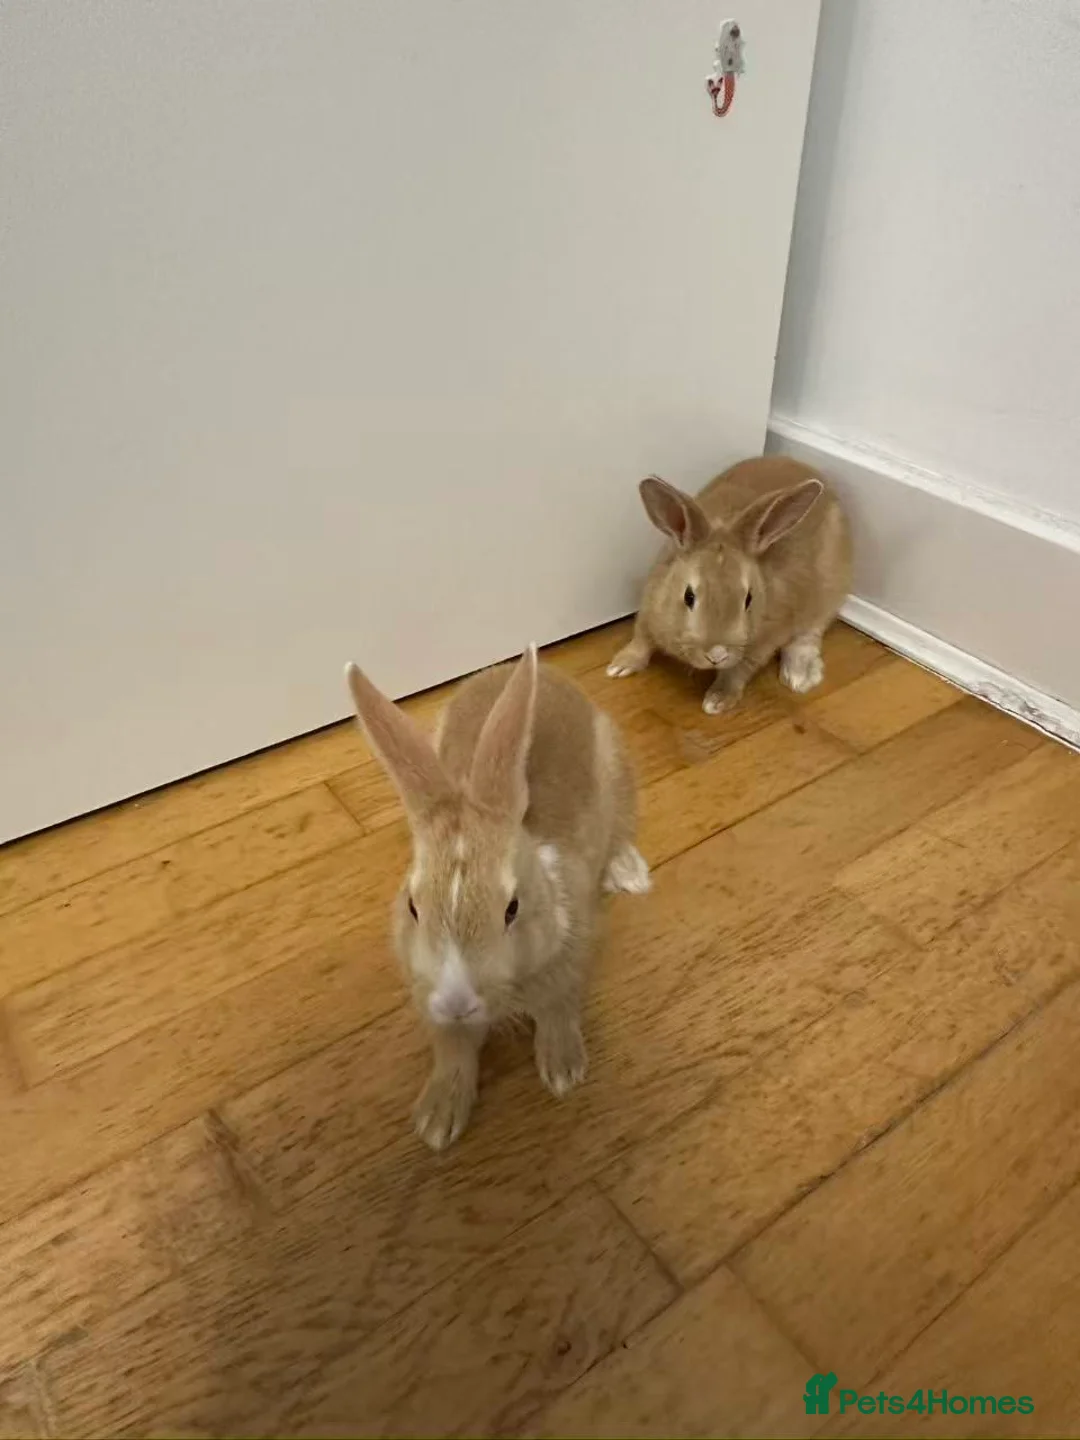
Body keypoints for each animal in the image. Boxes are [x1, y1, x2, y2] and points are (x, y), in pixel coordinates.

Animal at [344, 644, 649, 1151]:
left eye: (512, 908)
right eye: (412, 906)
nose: (457, 1003)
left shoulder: (571, 962)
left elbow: (559, 1010)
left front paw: (563, 1071)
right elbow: (453, 1053)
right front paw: (436, 1121)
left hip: (619, 769)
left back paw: (630, 872)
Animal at [608, 455, 852, 715]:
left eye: (749, 599)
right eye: (688, 596)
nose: (717, 654)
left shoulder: (761, 645)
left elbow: (737, 672)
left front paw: (718, 701)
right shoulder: (649, 607)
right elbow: (641, 640)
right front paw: (619, 666)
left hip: (828, 594)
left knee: (809, 634)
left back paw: (799, 676)